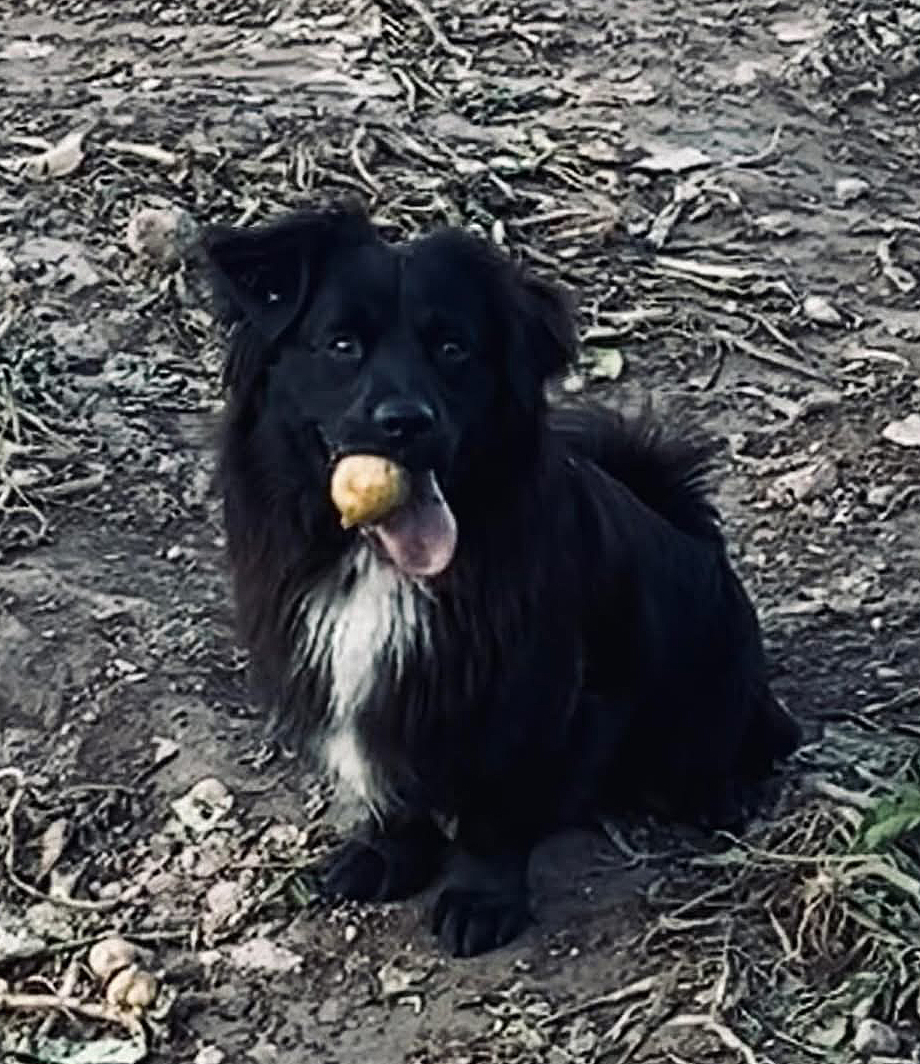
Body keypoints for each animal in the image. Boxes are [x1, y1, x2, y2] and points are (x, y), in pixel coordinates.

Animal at [203, 205, 801, 957]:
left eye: (453, 350)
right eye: (341, 345)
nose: (405, 422)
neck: (384, 565)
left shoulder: (525, 694)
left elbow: (497, 806)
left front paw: (481, 899)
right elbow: (397, 791)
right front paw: (388, 856)